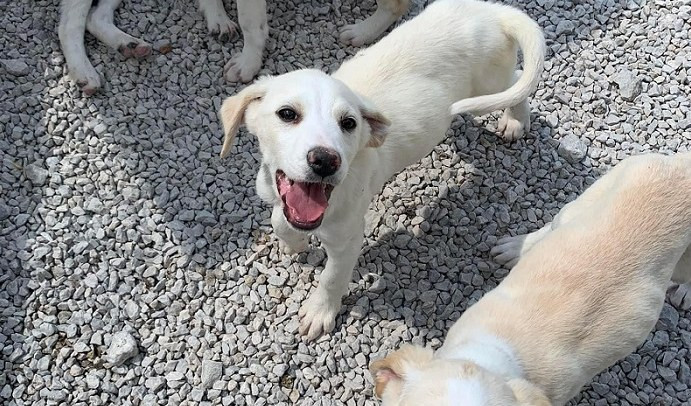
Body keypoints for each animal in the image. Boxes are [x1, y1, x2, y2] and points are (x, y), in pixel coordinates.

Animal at [220, 0, 548, 340]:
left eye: (349, 123)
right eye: (287, 114)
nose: (325, 160)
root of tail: (496, 12)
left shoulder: (348, 237)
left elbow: (331, 278)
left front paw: (319, 312)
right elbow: (280, 222)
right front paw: (293, 244)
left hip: (489, 80)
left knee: (517, 79)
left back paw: (515, 120)